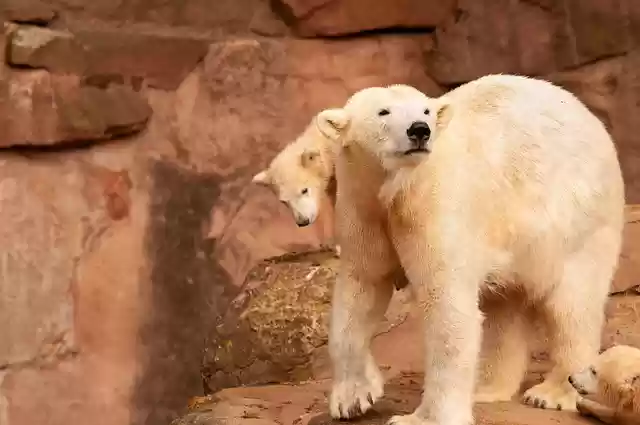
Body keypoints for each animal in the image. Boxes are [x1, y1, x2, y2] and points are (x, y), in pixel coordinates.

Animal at [315, 75, 625, 425]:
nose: (420, 130)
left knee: (572, 304)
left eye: (425, 110)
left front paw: (423, 418)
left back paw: (553, 393)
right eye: (384, 111)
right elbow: (361, 288)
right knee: (503, 307)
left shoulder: (435, 205)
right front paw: (353, 399)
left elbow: (447, 309)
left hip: (576, 216)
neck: (397, 188)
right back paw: (487, 388)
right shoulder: (362, 209)